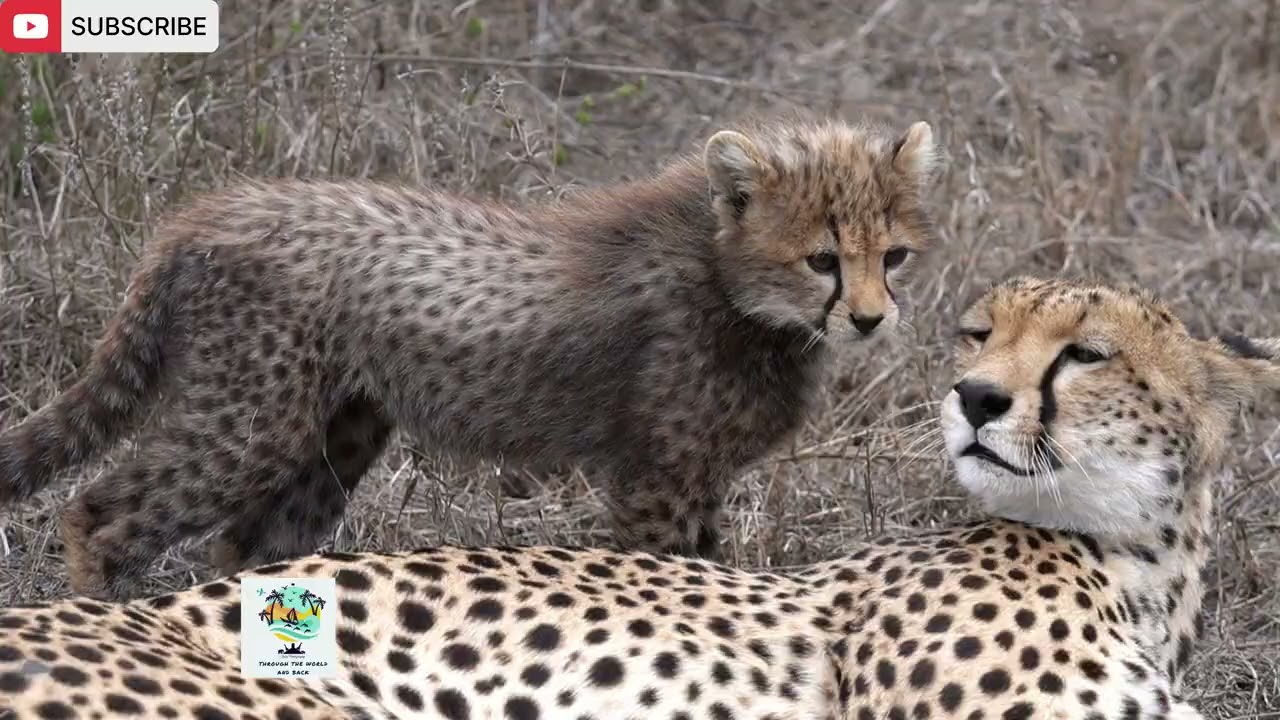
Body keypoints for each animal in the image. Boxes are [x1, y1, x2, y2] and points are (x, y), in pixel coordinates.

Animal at [0, 114, 941, 600]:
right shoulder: (659, 477)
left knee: (251, 546)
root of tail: (205, 213)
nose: (869, 321)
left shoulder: (695, 480)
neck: (729, 280)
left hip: (337, 432)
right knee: (100, 514)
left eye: (892, 256)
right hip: (251, 420)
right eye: (822, 259)